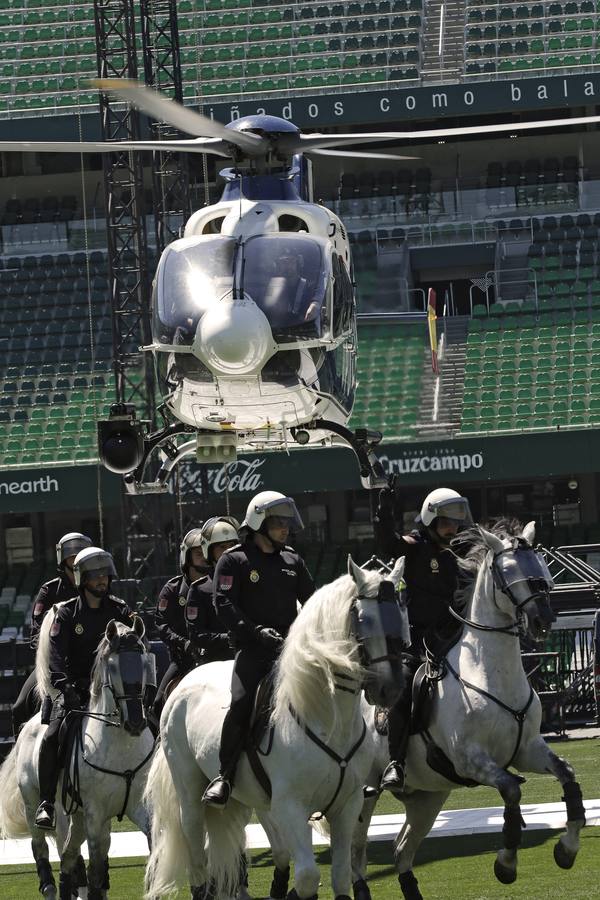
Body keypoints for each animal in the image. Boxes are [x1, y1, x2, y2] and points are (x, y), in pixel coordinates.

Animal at [0, 608, 157, 896]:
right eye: (113, 666)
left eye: (144, 661)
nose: (135, 722)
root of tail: (28, 725)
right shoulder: (96, 815)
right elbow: (95, 872)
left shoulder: (141, 809)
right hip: (35, 805)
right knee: (42, 848)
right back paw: (50, 887)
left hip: (75, 816)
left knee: (68, 854)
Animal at [144, 556, 412, 900]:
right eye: (363, 619)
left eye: (401, 615)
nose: (390, 689)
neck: (328, 719)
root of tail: (186, 681)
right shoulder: (291, 808)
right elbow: (309, 876)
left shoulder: (347, 806)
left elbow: (340, 875)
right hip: (190, 795)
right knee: (196, 857)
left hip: (249, 801)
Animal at [352, 520, 584, 900]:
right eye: (508, 573)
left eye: (541, 569)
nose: (543, 620)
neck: (490, 673)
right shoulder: (471, 760)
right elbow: (512, 791)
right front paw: (506, 864)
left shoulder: (527, 751)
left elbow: (567, 776)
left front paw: (566, 849)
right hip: (363, 794)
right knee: (355, 854)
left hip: (428, 797)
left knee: (401, 851)